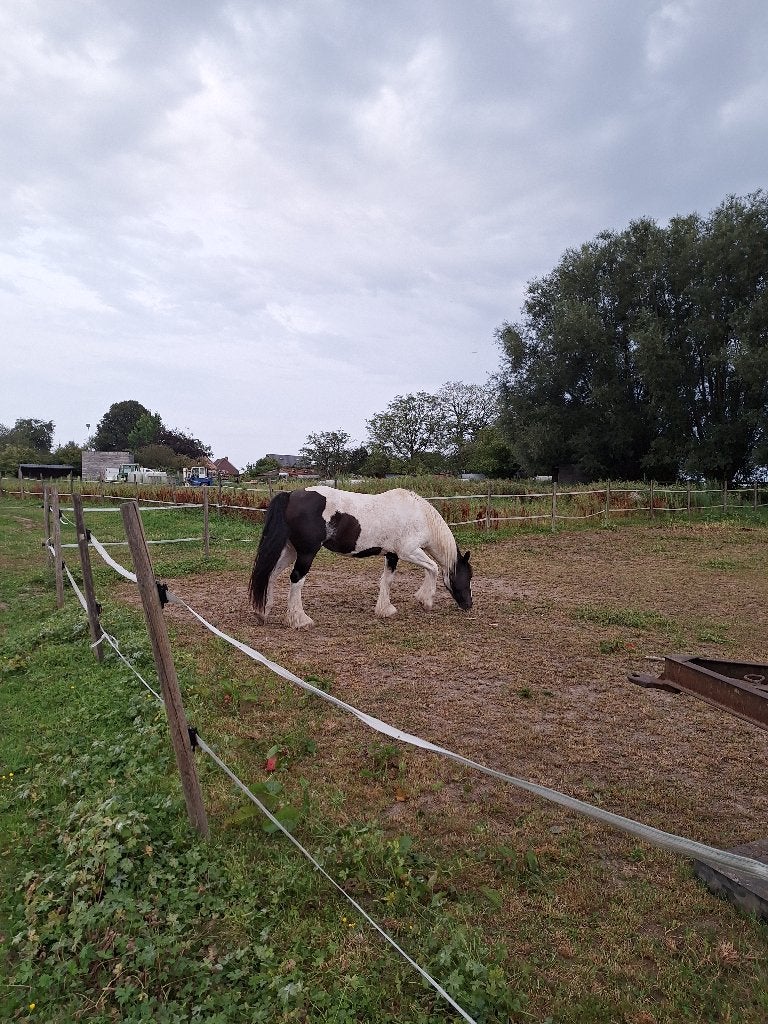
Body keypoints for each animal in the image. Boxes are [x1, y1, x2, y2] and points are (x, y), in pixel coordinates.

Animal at [248, 486, 473, 628]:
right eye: (469, 576)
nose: (469, 605)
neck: (419, 515)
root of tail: (291, 495)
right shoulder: (408, 551)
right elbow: (433, 567)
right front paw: (425, 600)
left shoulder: (392, 555)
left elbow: (387, 580)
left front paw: (385, 609)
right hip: (306, 553)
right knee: (296, 579)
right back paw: (300, 620)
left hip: (290, 550)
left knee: (270, 574)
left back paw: (263, 612)